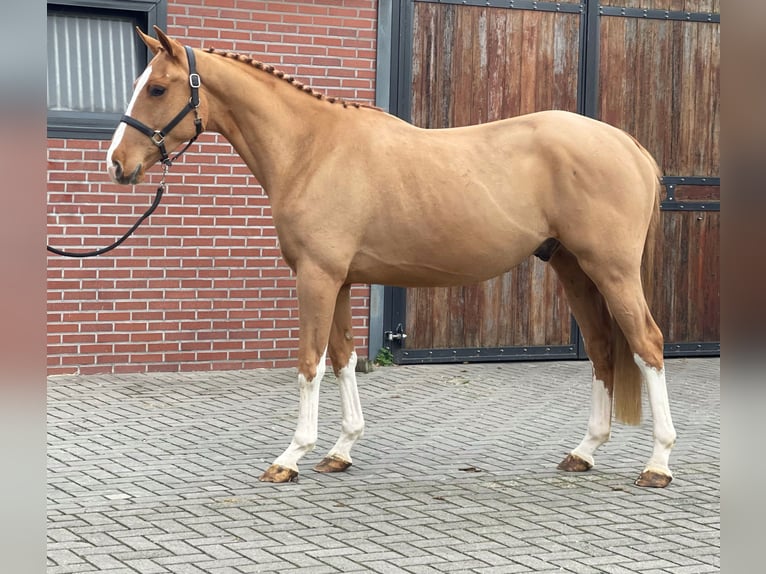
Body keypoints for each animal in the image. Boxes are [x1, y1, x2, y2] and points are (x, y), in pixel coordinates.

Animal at [105, 25, 676, 486]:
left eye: (157, 88)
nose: (117, 163)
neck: (312, 149)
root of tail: (630, 146)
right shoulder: (340, 281)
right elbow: (343, 359)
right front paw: (340, 451)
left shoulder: (316, 278)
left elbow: (309, 363)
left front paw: (290, 457)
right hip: (573, 268)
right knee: (602, 350)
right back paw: (584, 452)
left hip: (612, 271)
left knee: (647, 345)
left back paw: (658, 464)